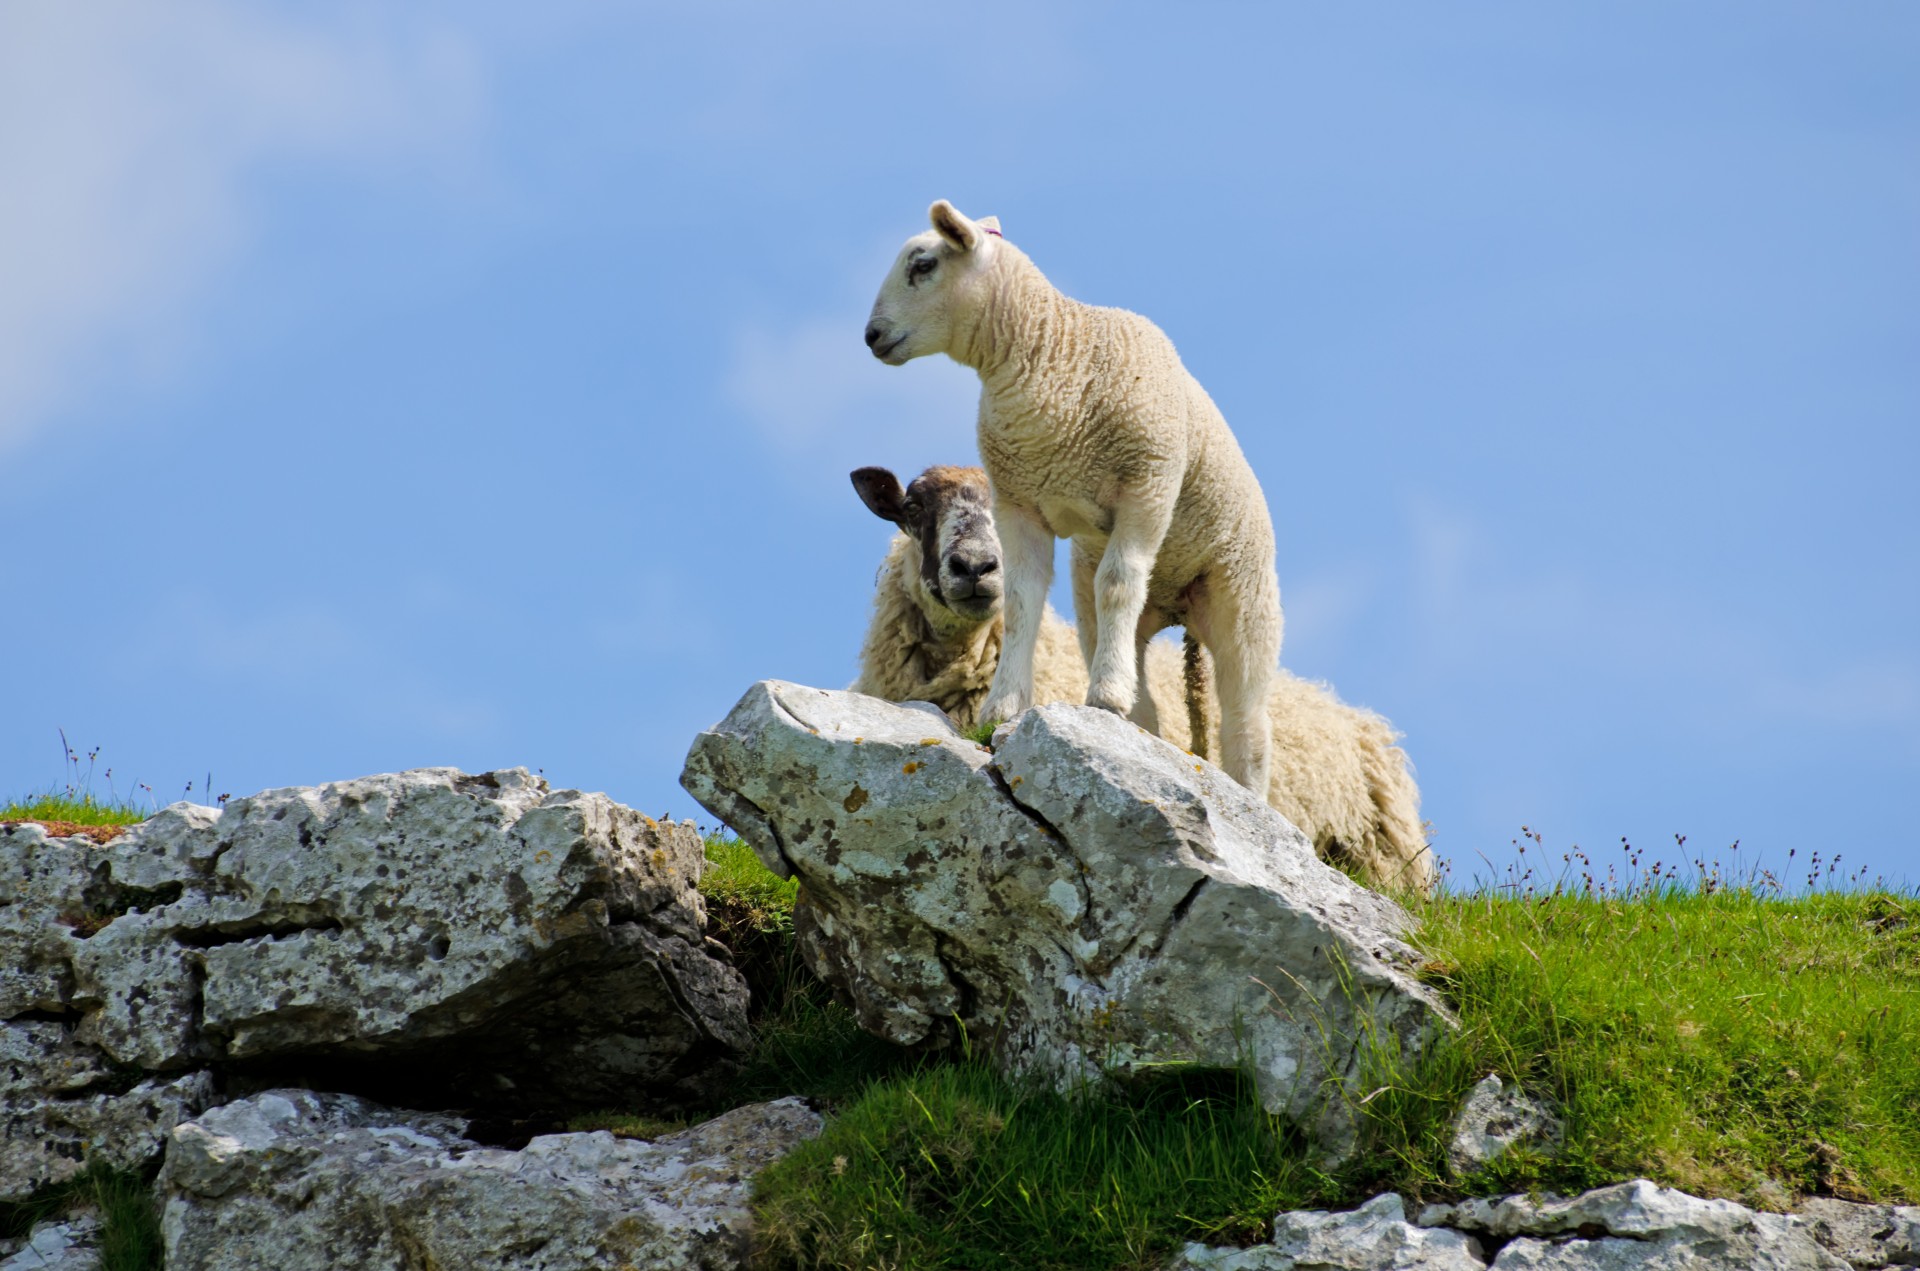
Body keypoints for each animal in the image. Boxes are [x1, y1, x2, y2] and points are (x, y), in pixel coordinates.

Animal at [864, 199, 1282, 798]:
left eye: (923, 265)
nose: (872, 335)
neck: (1050, 354)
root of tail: (1179, 611)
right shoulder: (1019, 502)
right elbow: (1020, 600)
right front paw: (1006, 706)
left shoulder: (1147, 482)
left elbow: (1118, 582)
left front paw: (1102, 695)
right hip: (1117, 610)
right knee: (1141, 681)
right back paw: (1130, 719)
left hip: (1241, 597)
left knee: (1246, 721)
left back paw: (1244, 789)